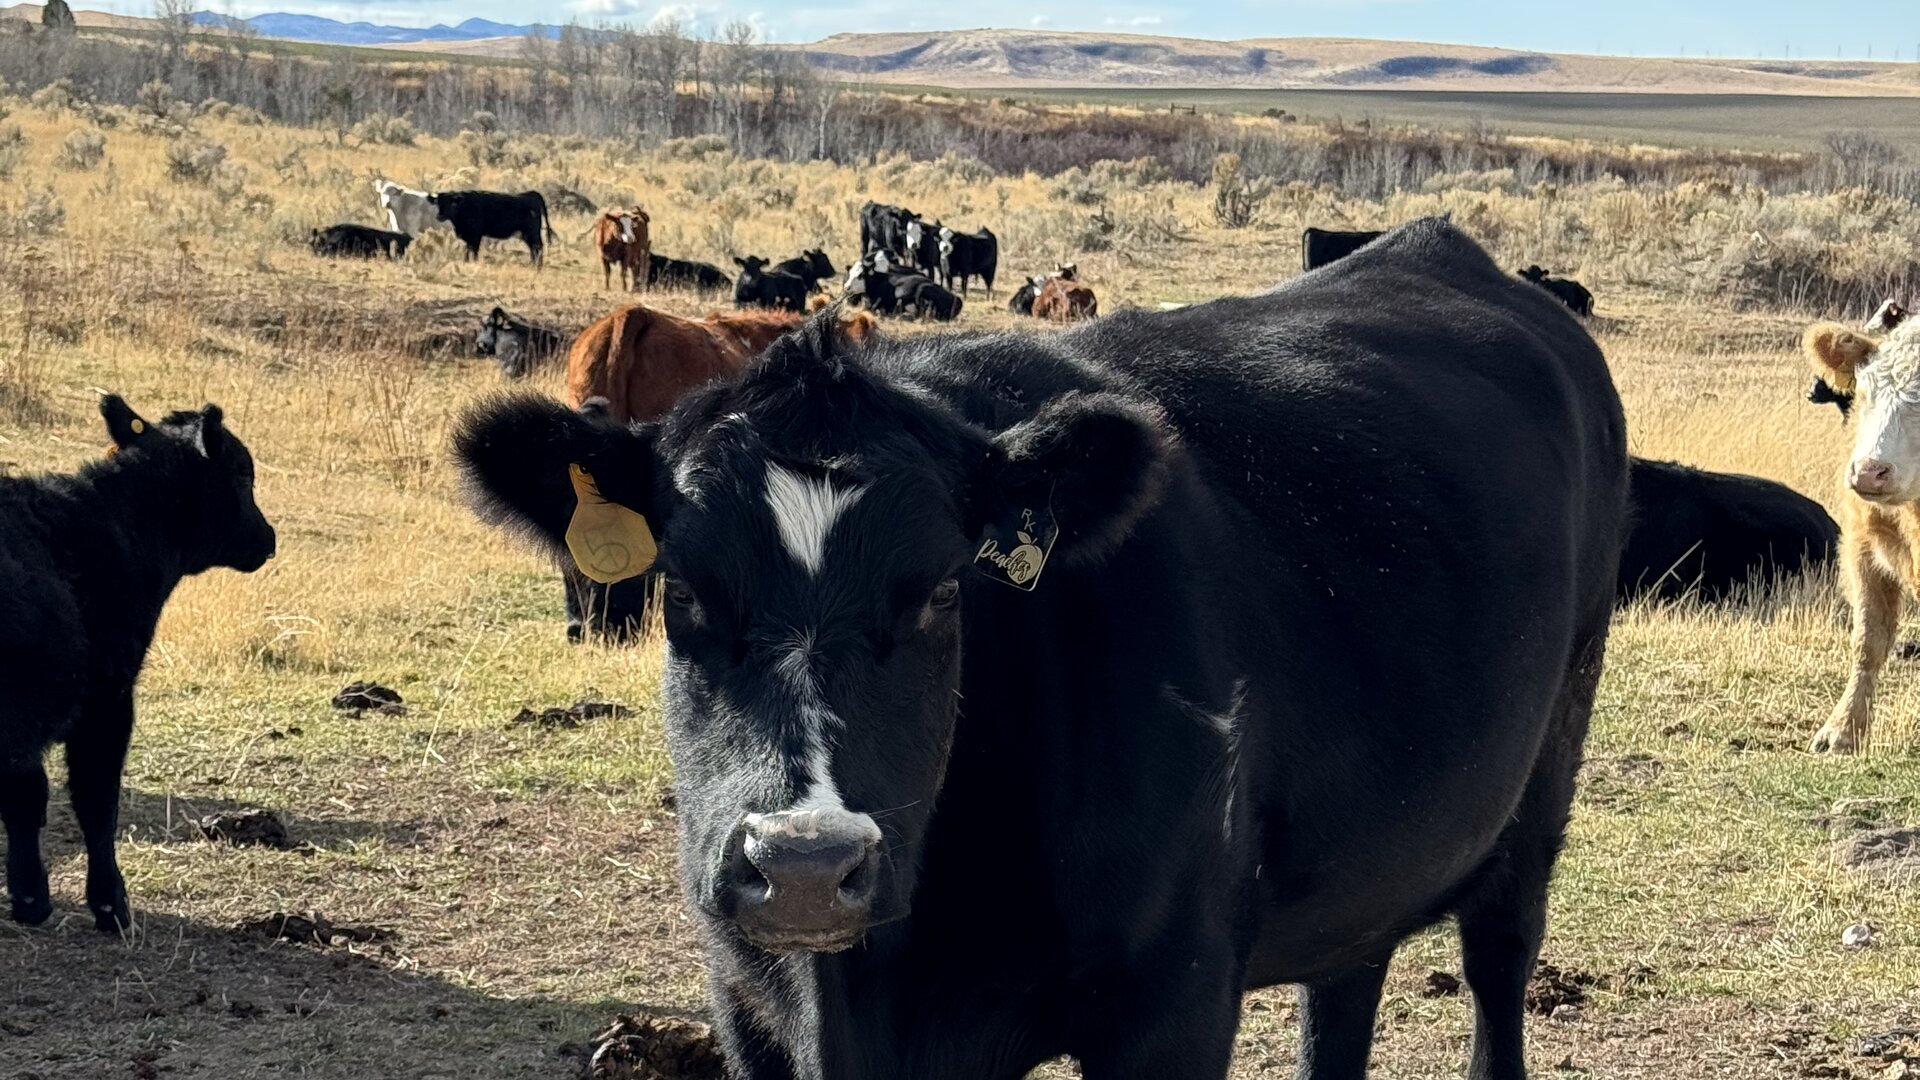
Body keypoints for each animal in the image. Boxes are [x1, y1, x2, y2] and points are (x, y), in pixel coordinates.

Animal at [452, 217, 1627, 1080]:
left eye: (940, 592)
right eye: (685, 591)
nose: (805, 866)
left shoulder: (1172, 1004)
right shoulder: (750, 1010)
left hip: (1545, 781)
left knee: (1499, 961)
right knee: (1345, 987)